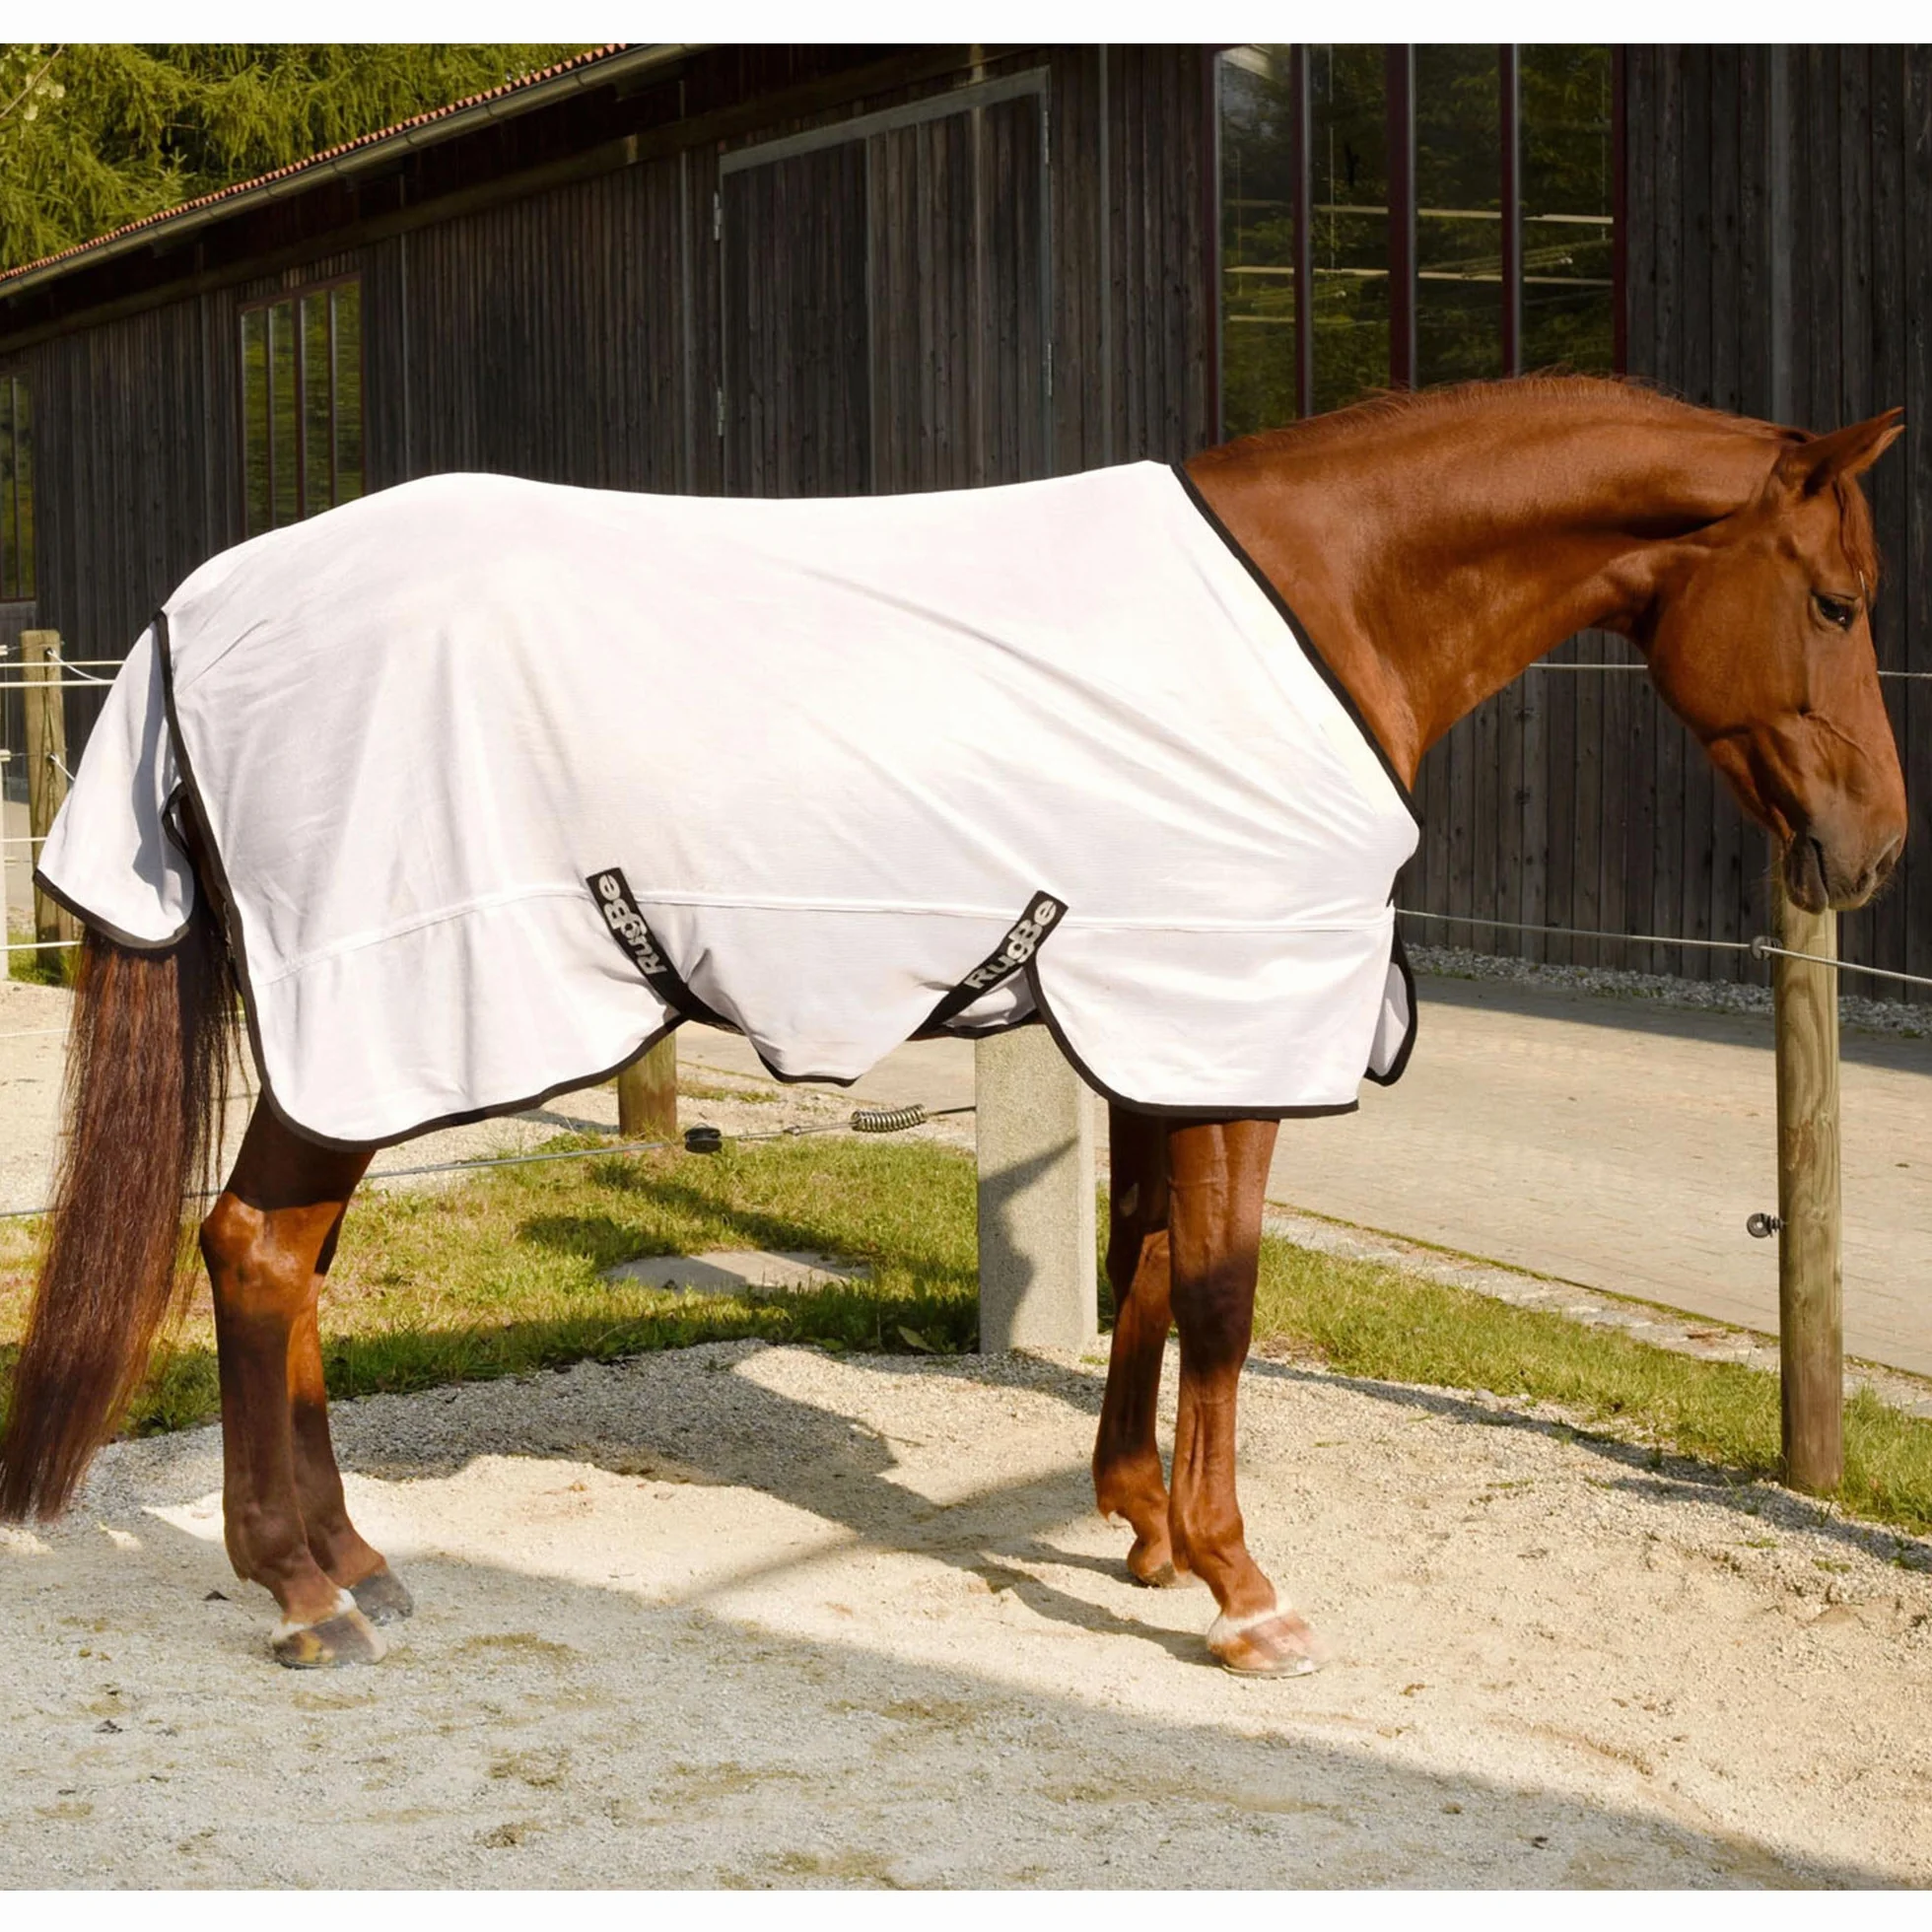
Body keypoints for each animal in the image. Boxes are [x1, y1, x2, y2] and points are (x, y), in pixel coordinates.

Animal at [0, 376, 1908, 1674]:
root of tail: (195, 612)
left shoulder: (1162, 1026)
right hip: (382, 1014)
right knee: (256, 1251)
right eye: (1838, 602)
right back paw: (303, 1588)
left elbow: (1147, 1260)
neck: (1321, 604)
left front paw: (1142, 1532)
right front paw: (1241, 1589)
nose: (1871, 848)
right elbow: (1224, 1293)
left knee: (292, 1265)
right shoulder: (1232, 1019)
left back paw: (357, 1564)